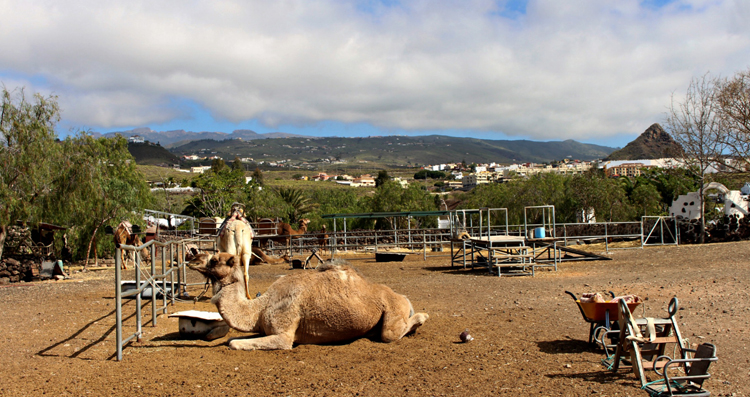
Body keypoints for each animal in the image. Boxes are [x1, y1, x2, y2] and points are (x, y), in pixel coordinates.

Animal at [188, 252, 428, 348]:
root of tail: (404, 297)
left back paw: (423, 317)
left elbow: (234, 343)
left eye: (215, 260)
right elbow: (232, 338)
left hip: (393, 312)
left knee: (390, 334)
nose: (191, 257)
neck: (260, 308)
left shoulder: (284, 333)